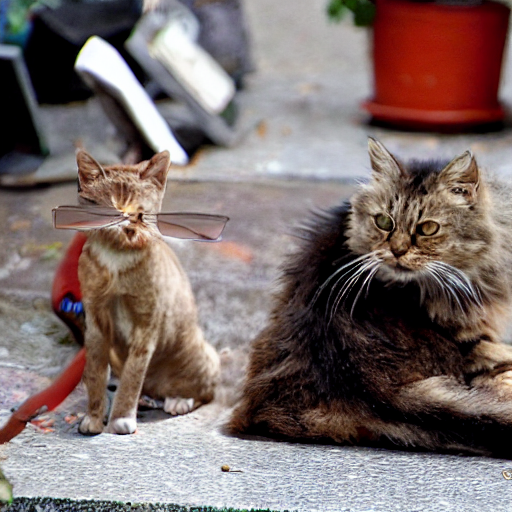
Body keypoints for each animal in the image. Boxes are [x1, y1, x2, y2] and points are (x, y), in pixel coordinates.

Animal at [75, 149, 220, 435]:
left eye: (140, 211)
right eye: (111, 208)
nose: (127, 224)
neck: (117, 259)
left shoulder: (146, 323)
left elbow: (133, 374)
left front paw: (121, 418)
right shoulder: (95, 320)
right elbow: (95, 372)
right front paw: (94, 417)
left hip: (196, 353)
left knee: (206, 390)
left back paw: (178, 400)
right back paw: (146, 398)